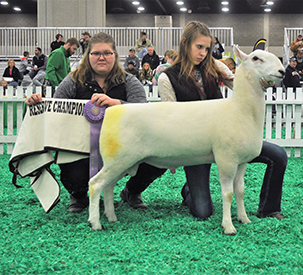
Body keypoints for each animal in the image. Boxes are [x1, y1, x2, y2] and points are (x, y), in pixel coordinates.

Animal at [87, 46, 284, 236]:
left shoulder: (242, 162)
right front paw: (228, 226)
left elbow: (240, 191)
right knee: (95, 184)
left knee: (108, 186)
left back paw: (111, 217)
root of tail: (112, 112)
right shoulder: (226, 159)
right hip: (118, 159)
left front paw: (244, 219)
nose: (282, 71)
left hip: (123, 162)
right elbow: (228, 194)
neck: (240, 109)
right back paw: (95, 223)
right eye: (256, 58)